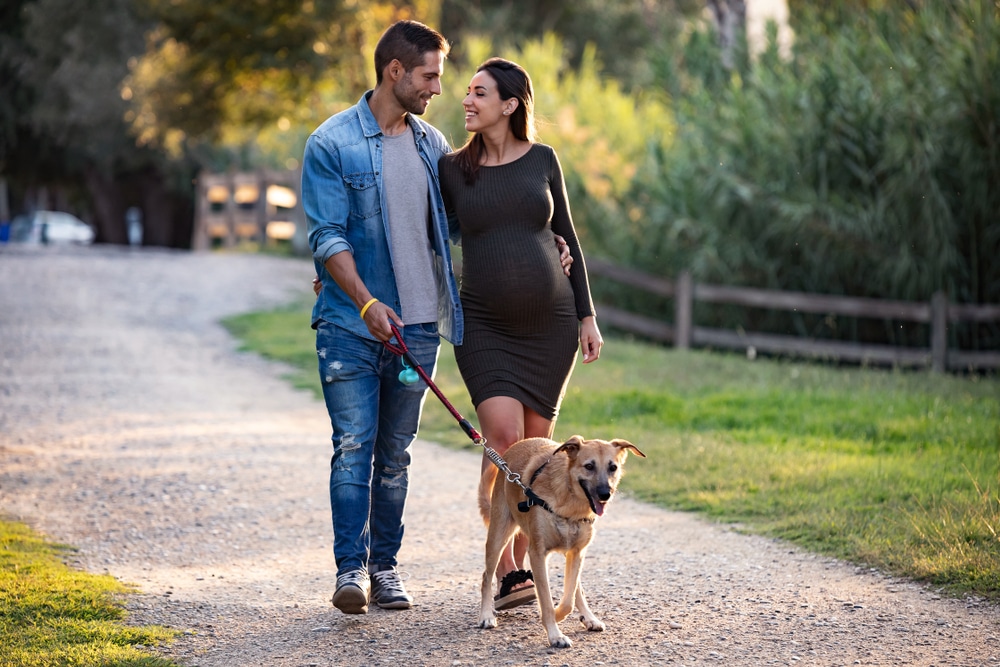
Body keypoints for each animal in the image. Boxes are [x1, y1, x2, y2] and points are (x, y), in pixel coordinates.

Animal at [478, 436, 648, 648]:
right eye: (589, 466)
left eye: (613, 467)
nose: (605, 494)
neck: (572, 503)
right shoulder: (537, 554)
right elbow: (546, 600)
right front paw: (555, 634)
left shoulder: (576, 552)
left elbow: (568, 599)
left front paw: (559, 614)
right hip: (498, 536)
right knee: (486, 576)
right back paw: (486, 615)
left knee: (576, 589)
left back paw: (589, 618)